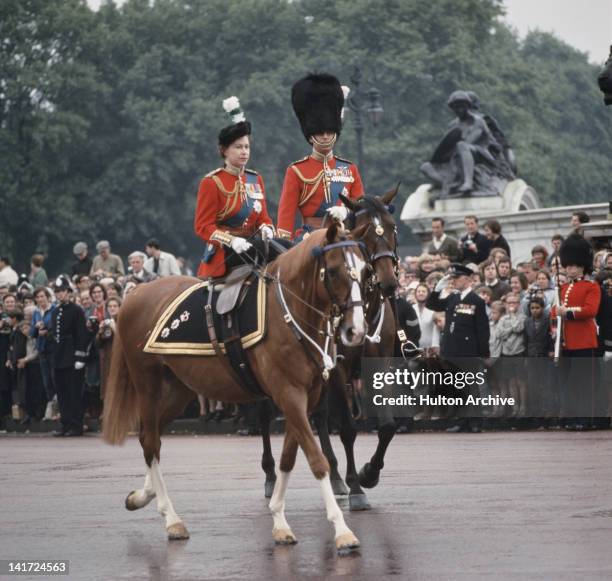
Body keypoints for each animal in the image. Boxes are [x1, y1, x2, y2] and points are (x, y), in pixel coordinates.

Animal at [103, 224, 366, 552]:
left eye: (364, 269)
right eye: (332, 270)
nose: (355, 330)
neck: (288, 314)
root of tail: (134, 294)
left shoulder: (304, 399)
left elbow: (289, 458)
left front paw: (279, 521)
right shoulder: (289, 395)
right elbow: (317, 461)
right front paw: (342, 530)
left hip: (179, 390)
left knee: (149, 439)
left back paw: (143, 496)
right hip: (147, 383)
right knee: (150, 441)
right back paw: (171, 518)